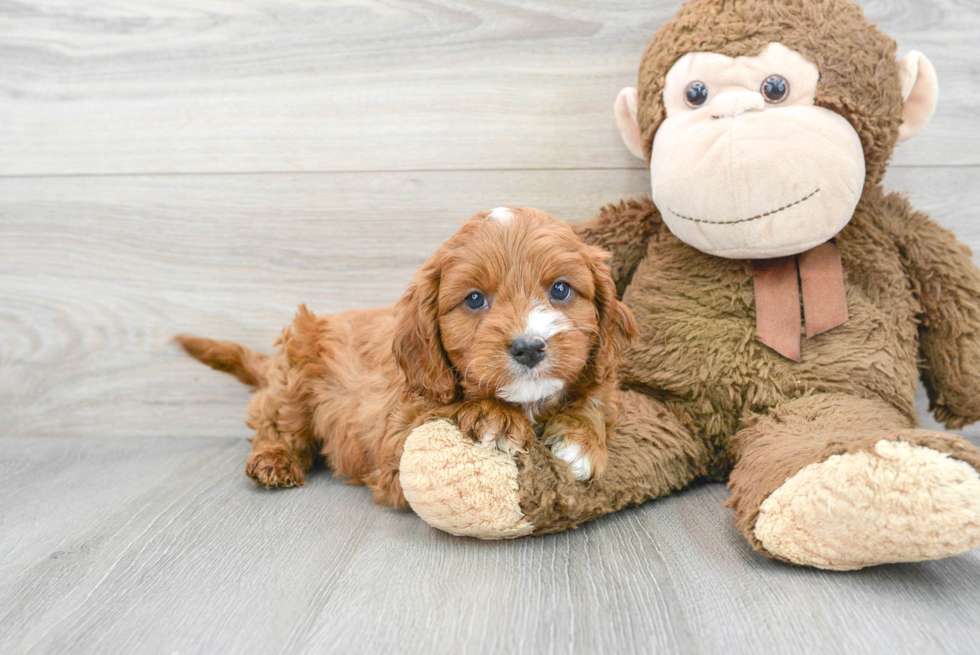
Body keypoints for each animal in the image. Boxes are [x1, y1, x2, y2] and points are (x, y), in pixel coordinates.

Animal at [178, 208, 636, 504]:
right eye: (474, 299)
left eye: (560, 289)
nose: (528, 347)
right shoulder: (394, 438)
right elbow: (443, 413)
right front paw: (494, 417)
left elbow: (595, 401)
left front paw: (580, 439)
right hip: (295, 375)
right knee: (276, 421)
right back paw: (274, 460)